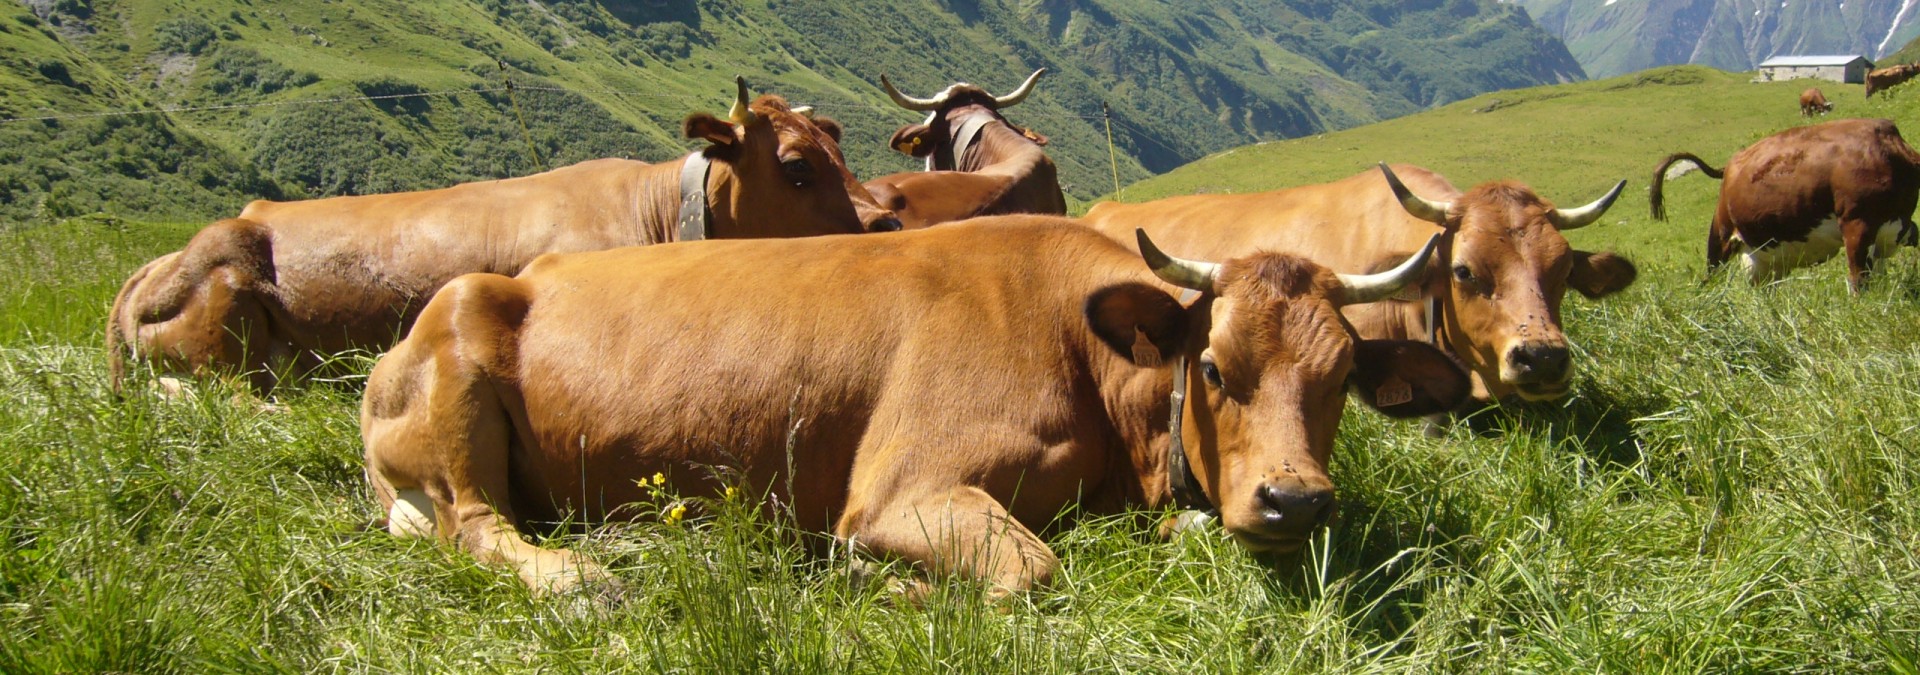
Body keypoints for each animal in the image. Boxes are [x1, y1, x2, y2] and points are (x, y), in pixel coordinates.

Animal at [1651, 118, 1920, 293]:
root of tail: (1729, 165)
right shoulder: (1857, 225)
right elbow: (1859, 282)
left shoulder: (1896, 229)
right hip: (1721, 236)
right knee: (1709, 280)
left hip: (1765, 257)